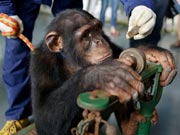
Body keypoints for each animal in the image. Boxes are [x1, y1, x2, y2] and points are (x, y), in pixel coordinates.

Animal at [29, 8, 177, 135]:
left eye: (97, 29)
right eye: (86, 35)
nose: (99, 40)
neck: (72, 63)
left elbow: (118, 52)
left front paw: (152, 51)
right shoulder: (41, 63)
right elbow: (44, 118)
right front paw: (104, 75)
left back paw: (130, 124)